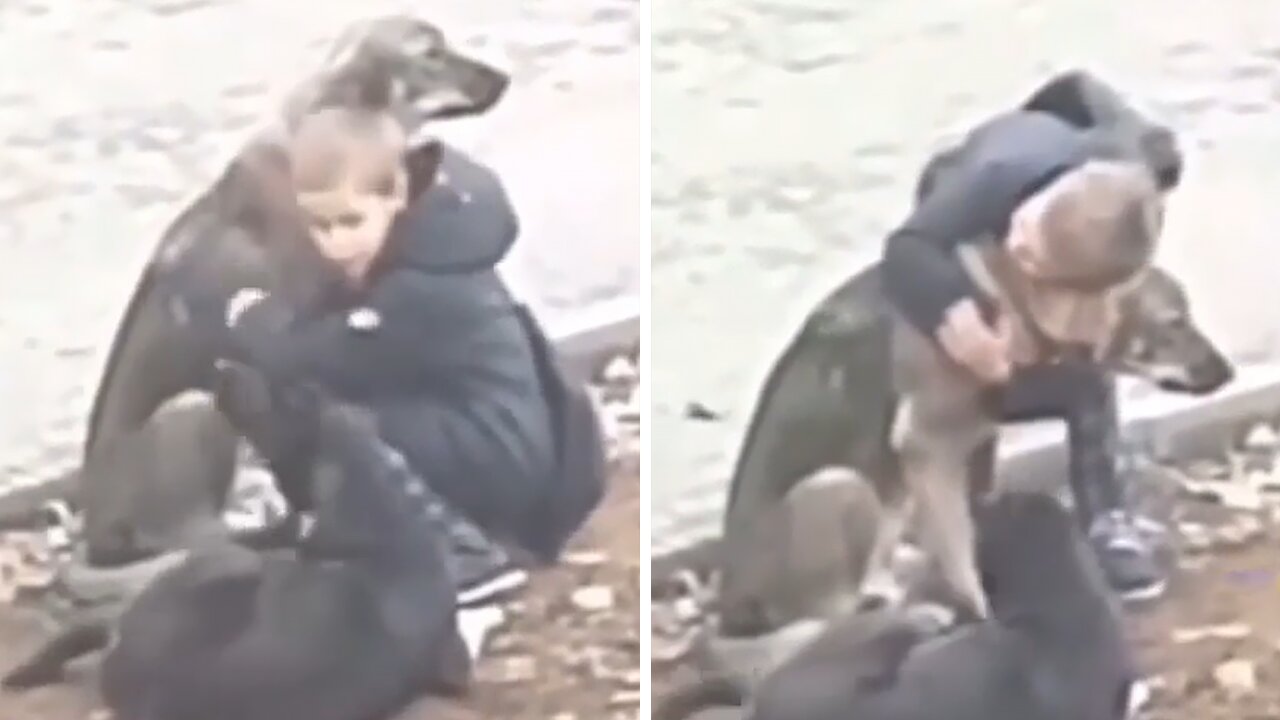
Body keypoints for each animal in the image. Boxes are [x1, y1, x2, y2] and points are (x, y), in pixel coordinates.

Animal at [716, 262, 1233, 627]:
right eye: (1174, 322)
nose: (1228, 373)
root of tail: (730, 602)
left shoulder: (964, 448)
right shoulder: (928, 450)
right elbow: (963, 559)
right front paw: (983, 617)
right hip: (837, 484)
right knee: (831, 615)